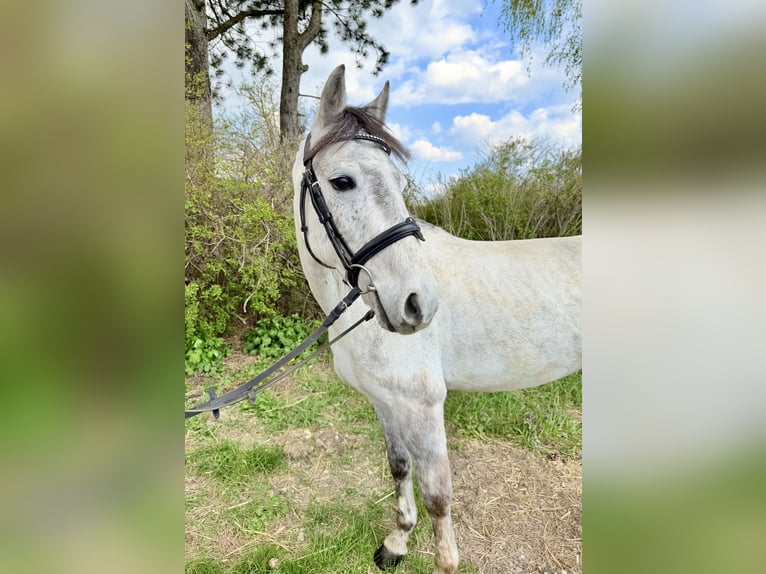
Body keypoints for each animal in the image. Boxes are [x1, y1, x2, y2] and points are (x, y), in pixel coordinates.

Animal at [292, 64, 581, 574]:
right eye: (342, 181)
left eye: (399, 181)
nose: (418, 303)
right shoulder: (387, 404)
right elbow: (399, 469)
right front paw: (396, 543)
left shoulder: (423, 407)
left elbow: (438, 498)